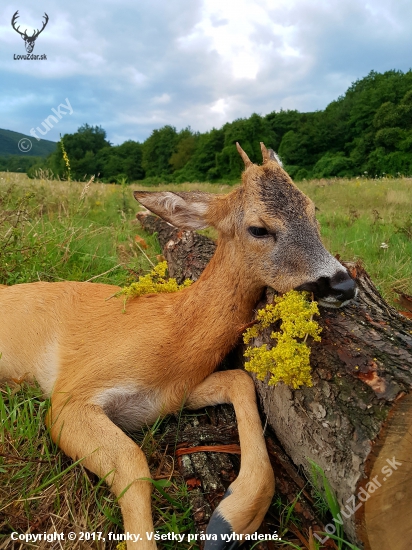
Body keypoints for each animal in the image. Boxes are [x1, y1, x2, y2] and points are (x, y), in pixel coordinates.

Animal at [0, 144, 356, 548]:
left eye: (313, 211)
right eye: (259, 228)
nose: (343, 285)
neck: (173, 335)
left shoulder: (173, 395)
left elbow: (241, 381)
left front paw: (229, 517)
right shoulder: (71, 394)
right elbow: (134, 463)